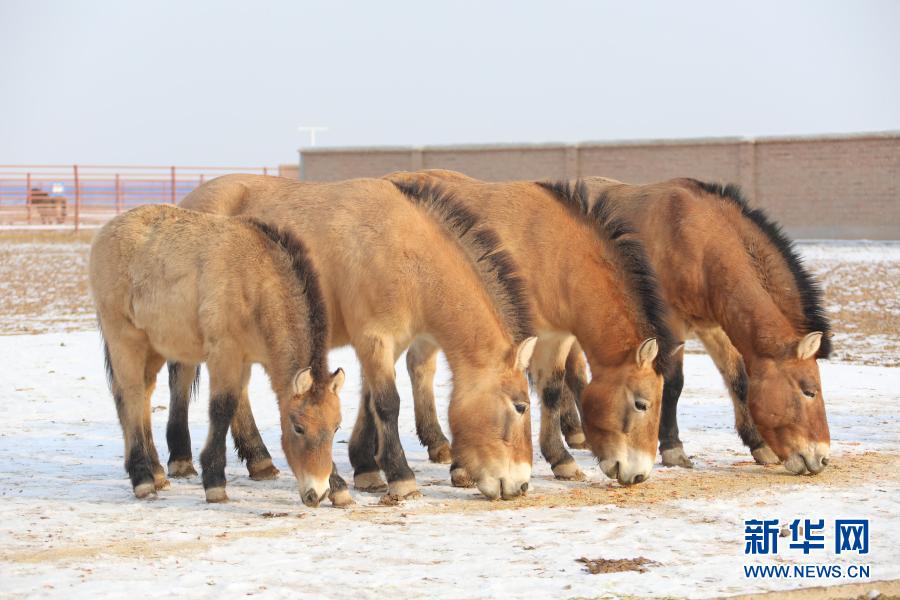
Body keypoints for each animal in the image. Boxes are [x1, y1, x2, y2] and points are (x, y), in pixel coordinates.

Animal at [89, 204, 347, 506]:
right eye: (298, 428)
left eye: (336, 428)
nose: (316, 493)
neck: (256, 280)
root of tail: (107, 230)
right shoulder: (225, 354)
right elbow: (222, 408)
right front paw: (214, 483)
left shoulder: (245, 361)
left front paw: (339, 486)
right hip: (125, 340)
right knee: (129, 397)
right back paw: (142, 478)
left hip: (153, 347)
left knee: (143, 394)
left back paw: (157, 473)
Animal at [173, 175, 537, 501]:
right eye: (520, 406)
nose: (521, 485)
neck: (407, 256)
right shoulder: (376, 338)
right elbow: (388, 403)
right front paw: (401, 478)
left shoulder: (388, 344)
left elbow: (369, 400)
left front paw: (366, 469)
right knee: (181, 380)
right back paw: (181, 460)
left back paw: (258, 459)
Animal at [386, 170, 679, 486]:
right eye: (641, 403)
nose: (638, 474)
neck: (554, 257)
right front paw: (464, 469)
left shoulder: (556, 338)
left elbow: (552, 390)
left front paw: (561, 460)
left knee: (419, 367)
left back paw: (437, 442)